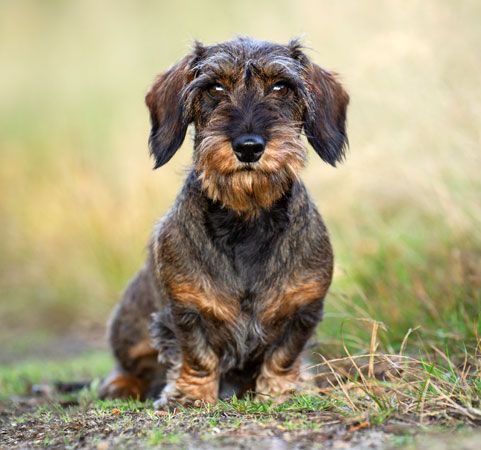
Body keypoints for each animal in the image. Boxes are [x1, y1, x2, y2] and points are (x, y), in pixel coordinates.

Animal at [98, 36, 348, 408]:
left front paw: (282, 391)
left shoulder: (303, 307)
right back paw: (121, 384)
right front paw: (190, 395)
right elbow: (198, 355)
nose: (249, 147)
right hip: (128, 327)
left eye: (281, 86)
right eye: (214, 87)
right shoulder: (185, 309)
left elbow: (283, 355)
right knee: (134, 364)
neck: (246, 221)